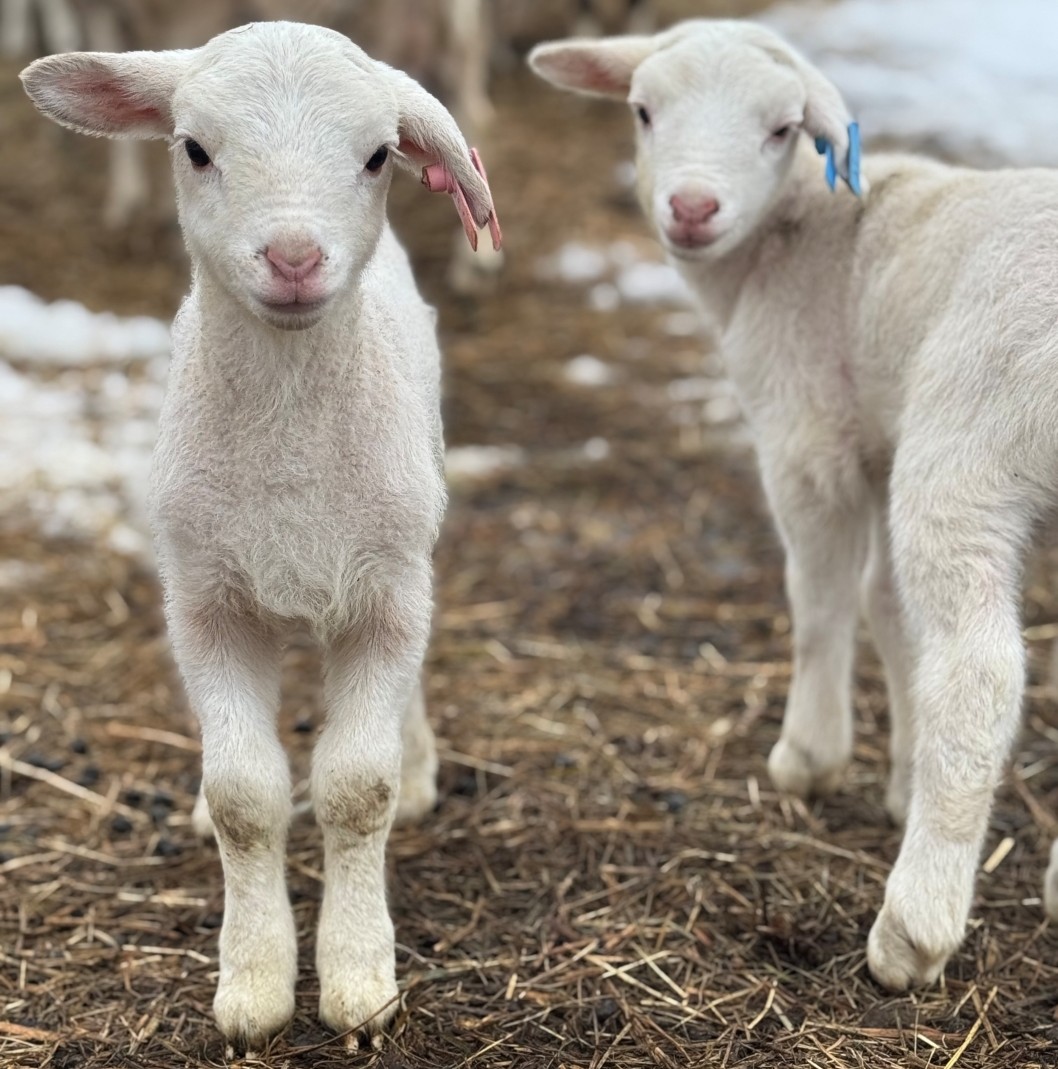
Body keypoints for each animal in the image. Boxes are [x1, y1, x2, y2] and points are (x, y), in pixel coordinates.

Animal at [21, 19, 500, 1047]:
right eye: (195, 149)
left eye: (378, 155)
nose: (291, 256)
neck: (287, 444)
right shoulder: (206, 603)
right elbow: (245, 796)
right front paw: (253, 988)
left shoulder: (387, 596)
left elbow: (360, 787)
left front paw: (359, 981)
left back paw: (422, 764)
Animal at [530, 18, 1058, 993]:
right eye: (642, 109)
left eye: (781, 129)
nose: (692, 207)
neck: (802, 233)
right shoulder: (879, 436)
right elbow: (887, 611)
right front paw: (898, 780)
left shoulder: (808, 439)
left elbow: (819, 604)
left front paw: (810, 758)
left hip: (970, 436)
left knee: (980, 671)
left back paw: (913, 929)